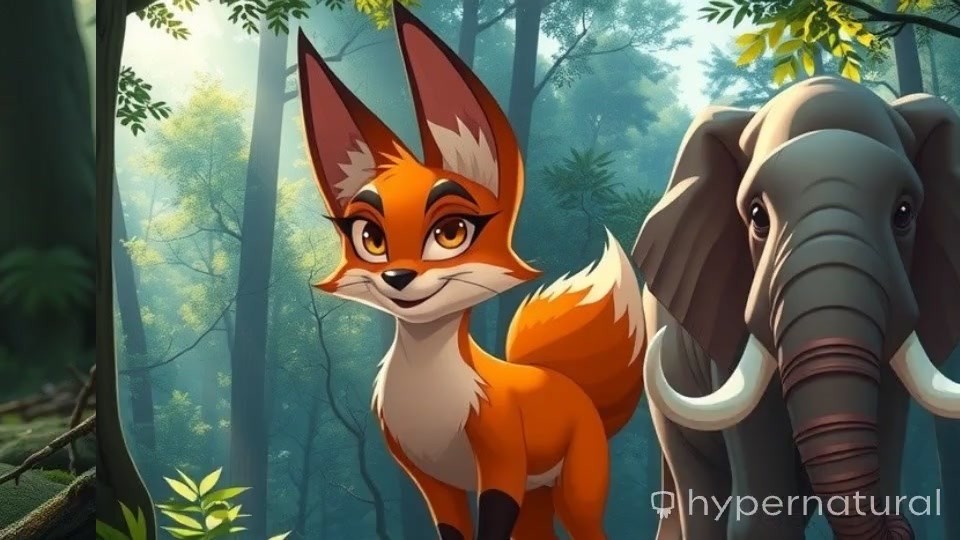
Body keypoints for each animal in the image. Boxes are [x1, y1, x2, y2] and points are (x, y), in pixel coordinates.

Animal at [296, 5, 646, 540]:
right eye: (370, 238)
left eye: (451, 232)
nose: (397, 278)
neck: (430, 402)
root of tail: (568, 382)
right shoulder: (429, 481)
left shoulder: (502, 463)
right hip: (538, 496)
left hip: (575, 489)